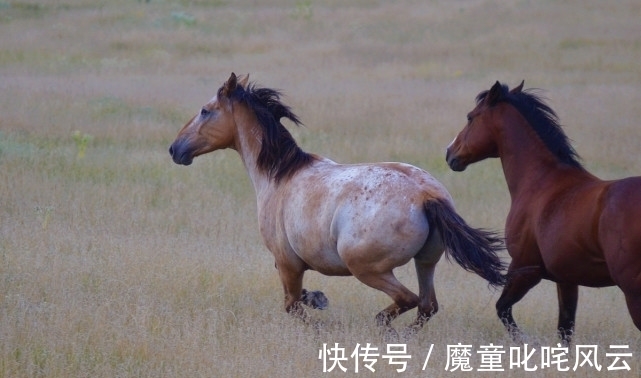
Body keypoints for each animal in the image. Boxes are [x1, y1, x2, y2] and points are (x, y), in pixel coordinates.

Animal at [169, 72, 504, 336]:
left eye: (205, 110)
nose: (175, 149)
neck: (280, 176)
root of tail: (427, 196)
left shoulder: (287, 263)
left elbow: (292, 305)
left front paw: (322, 315)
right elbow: (298, 300)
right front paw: (318, 297)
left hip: (367, 268)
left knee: (409, 300)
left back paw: (382, 326)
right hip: (426, 262)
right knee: (427, 305)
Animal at [444, 81, 640, 344]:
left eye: (470, 117)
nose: (450, 154)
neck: (541, 181)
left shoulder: (526, 268)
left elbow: (503, 308)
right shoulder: (566, 280)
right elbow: (565, 330)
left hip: (632, 291)